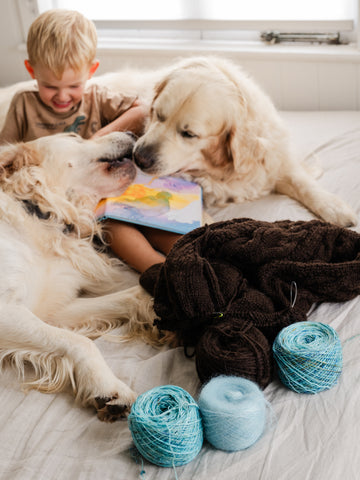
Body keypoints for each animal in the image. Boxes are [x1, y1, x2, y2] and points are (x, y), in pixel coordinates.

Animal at [0, 131, 154, 420]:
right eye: (73, 136)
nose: (131, 132)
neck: (40, 213)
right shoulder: (7, 310)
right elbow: (80, 341)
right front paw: (107, 386)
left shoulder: (51, 312)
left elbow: (130, 296)